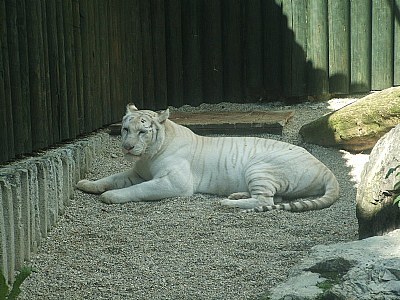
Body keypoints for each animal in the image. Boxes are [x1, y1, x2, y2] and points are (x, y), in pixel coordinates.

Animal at [77, 104, 340, 212]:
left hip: (260, 168)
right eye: (124, 129)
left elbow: (138, 189)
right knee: (274, 197)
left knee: (265, 200)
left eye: (142, 131)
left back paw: (227, 203)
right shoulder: (136, 172)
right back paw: (236, 195)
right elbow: (111, 178)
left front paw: (111, 196)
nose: (128, 147)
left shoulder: (174, 183)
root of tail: (325, 168)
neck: (149, 155)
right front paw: (87, 184)